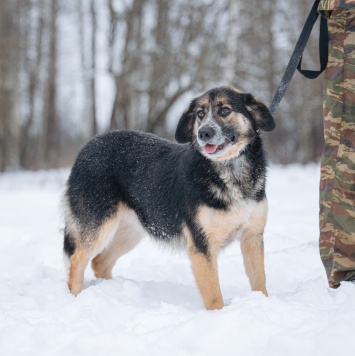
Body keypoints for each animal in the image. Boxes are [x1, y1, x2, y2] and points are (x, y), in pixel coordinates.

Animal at [63, 85, 276, 308]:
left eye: (225, 110)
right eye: (200, 114)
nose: (203, 133)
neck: (230, 172)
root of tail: (87, 148)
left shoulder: (252, 237)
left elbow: (260, 281)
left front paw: (262, 303)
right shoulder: (202, 245)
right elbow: (214, 296)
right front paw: (219, 314)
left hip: (130, 231)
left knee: (99, 262)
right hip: (99, 226)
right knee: (77, 260)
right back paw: (78, 297)